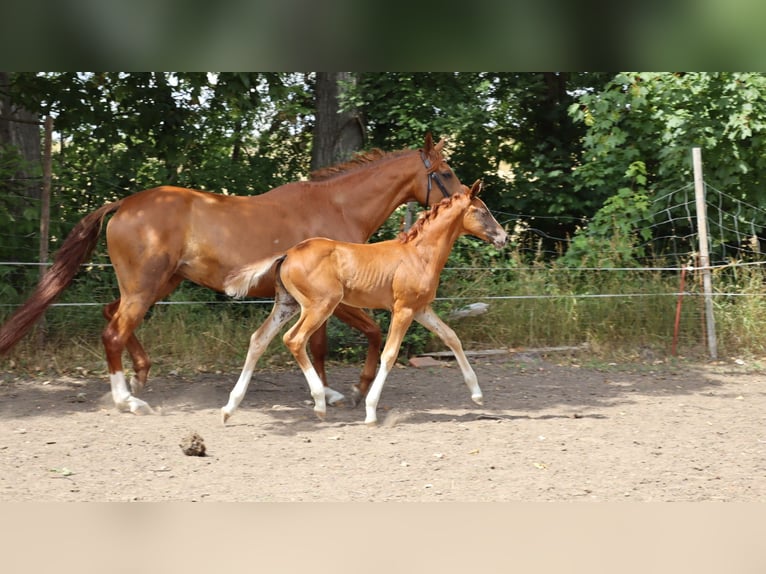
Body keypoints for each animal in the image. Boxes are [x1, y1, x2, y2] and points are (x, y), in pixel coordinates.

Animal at [0, 134, 466, 414]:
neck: (335, 207)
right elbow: (364, 333)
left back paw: (140, 374)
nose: (468, 200)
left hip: (155, 285)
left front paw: (330, 391)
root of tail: (124, 204)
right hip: (146, 287)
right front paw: (353, 389)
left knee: (110, 314)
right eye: (444, 173)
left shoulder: (316, 302)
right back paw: (127, 400)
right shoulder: (334, 299)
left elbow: (318, 346)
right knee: (113, 330)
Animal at [222, 180, 508, 425]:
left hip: (287, 304)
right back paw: (320, 403)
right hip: (320, 305)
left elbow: (451, 337)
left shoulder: (421, 309)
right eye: (483, 211)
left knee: (259, 339)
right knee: (294, 339)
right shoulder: (403, 309)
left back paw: (229, 408)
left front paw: (477, 394)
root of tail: (289, 253)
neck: (419, 254)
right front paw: (370, 411)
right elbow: (389, 354)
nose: (504, 237)